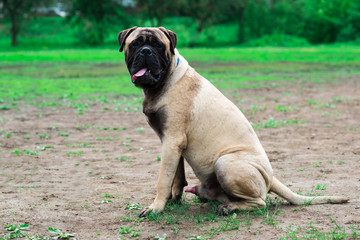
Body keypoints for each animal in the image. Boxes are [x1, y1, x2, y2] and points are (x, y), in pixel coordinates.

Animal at [117, 26, 348, 218]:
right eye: (135, 44)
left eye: (158, 45)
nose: (146, 51)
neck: (165, 80)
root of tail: (271, 177)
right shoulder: (171, 143)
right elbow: (176, 177)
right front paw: (174, 200)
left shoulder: (172, 141)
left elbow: (163, 180)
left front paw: (156, 208)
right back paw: (204, 194)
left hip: (225, 163)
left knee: (259, 202)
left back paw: (229, 207)